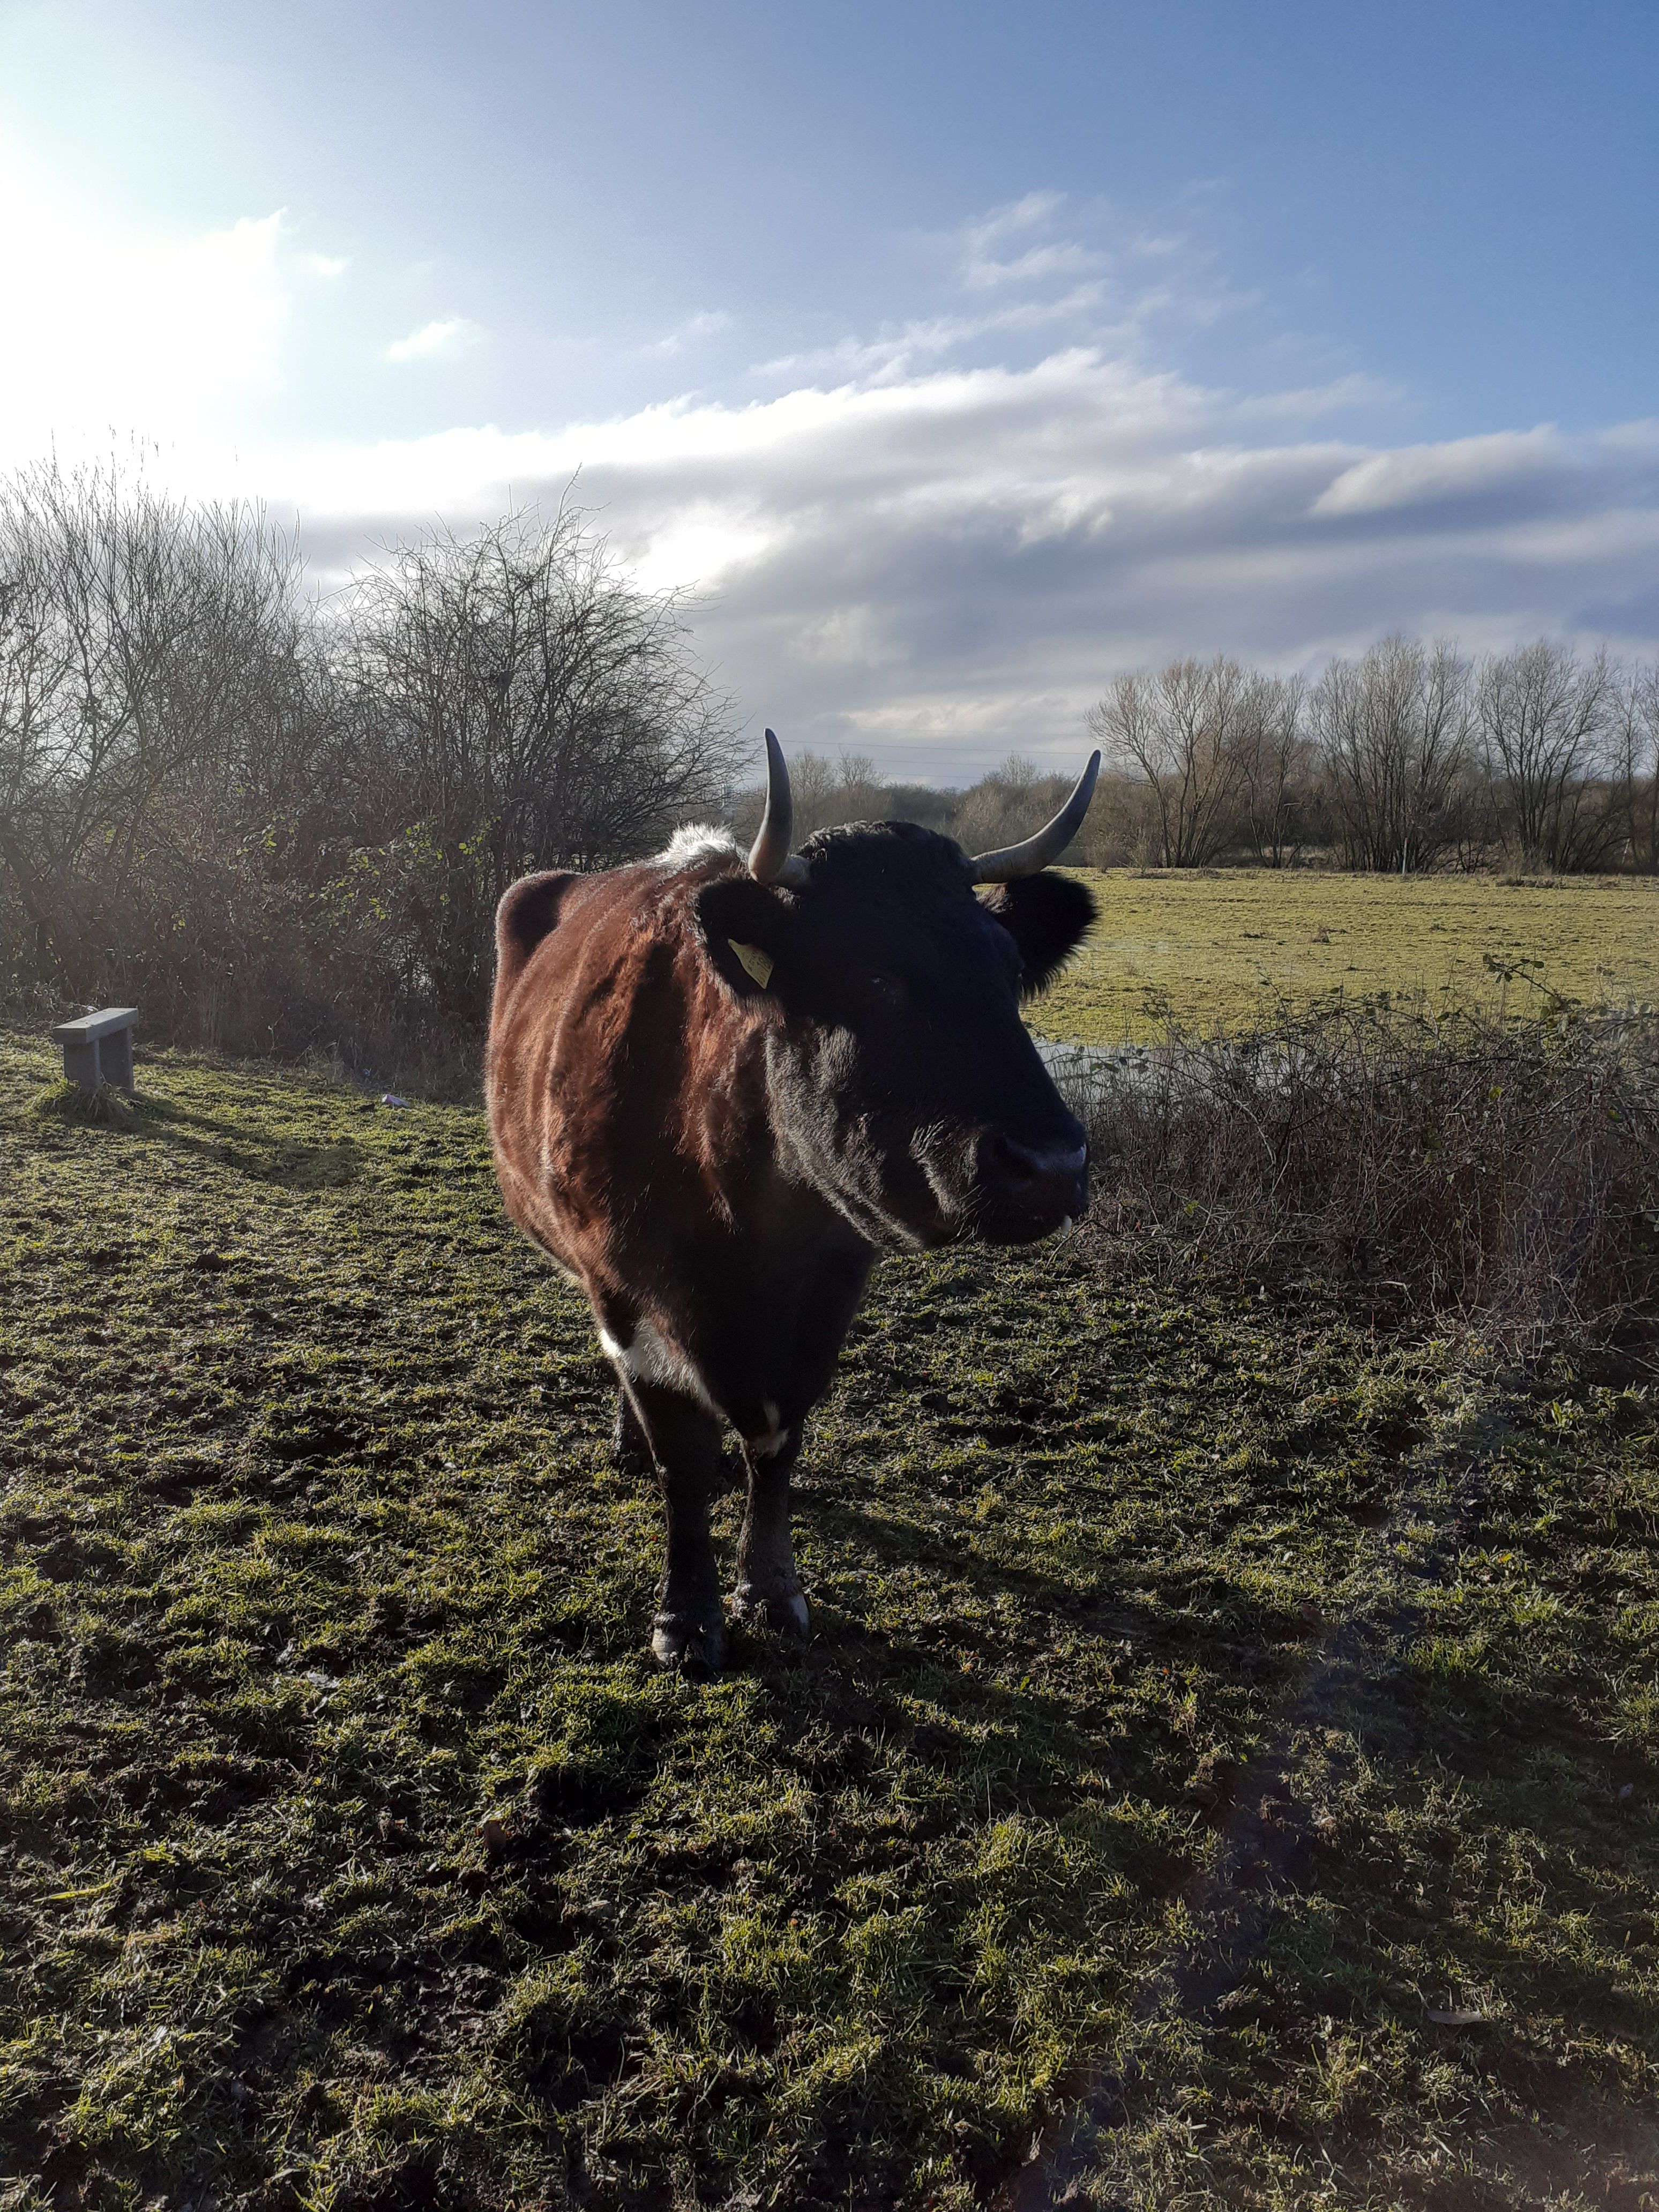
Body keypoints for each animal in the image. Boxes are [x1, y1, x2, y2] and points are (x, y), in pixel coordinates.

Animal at [487, 731, 1100, 1671]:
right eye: (873, 977)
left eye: (1008, 972)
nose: (1053, 1165)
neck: (754, 1236)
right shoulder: (628, 1287)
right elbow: (682, 1457)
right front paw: (688, 1616)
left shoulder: (830, 1291)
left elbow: (779, 1443)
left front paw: (772, 1589)